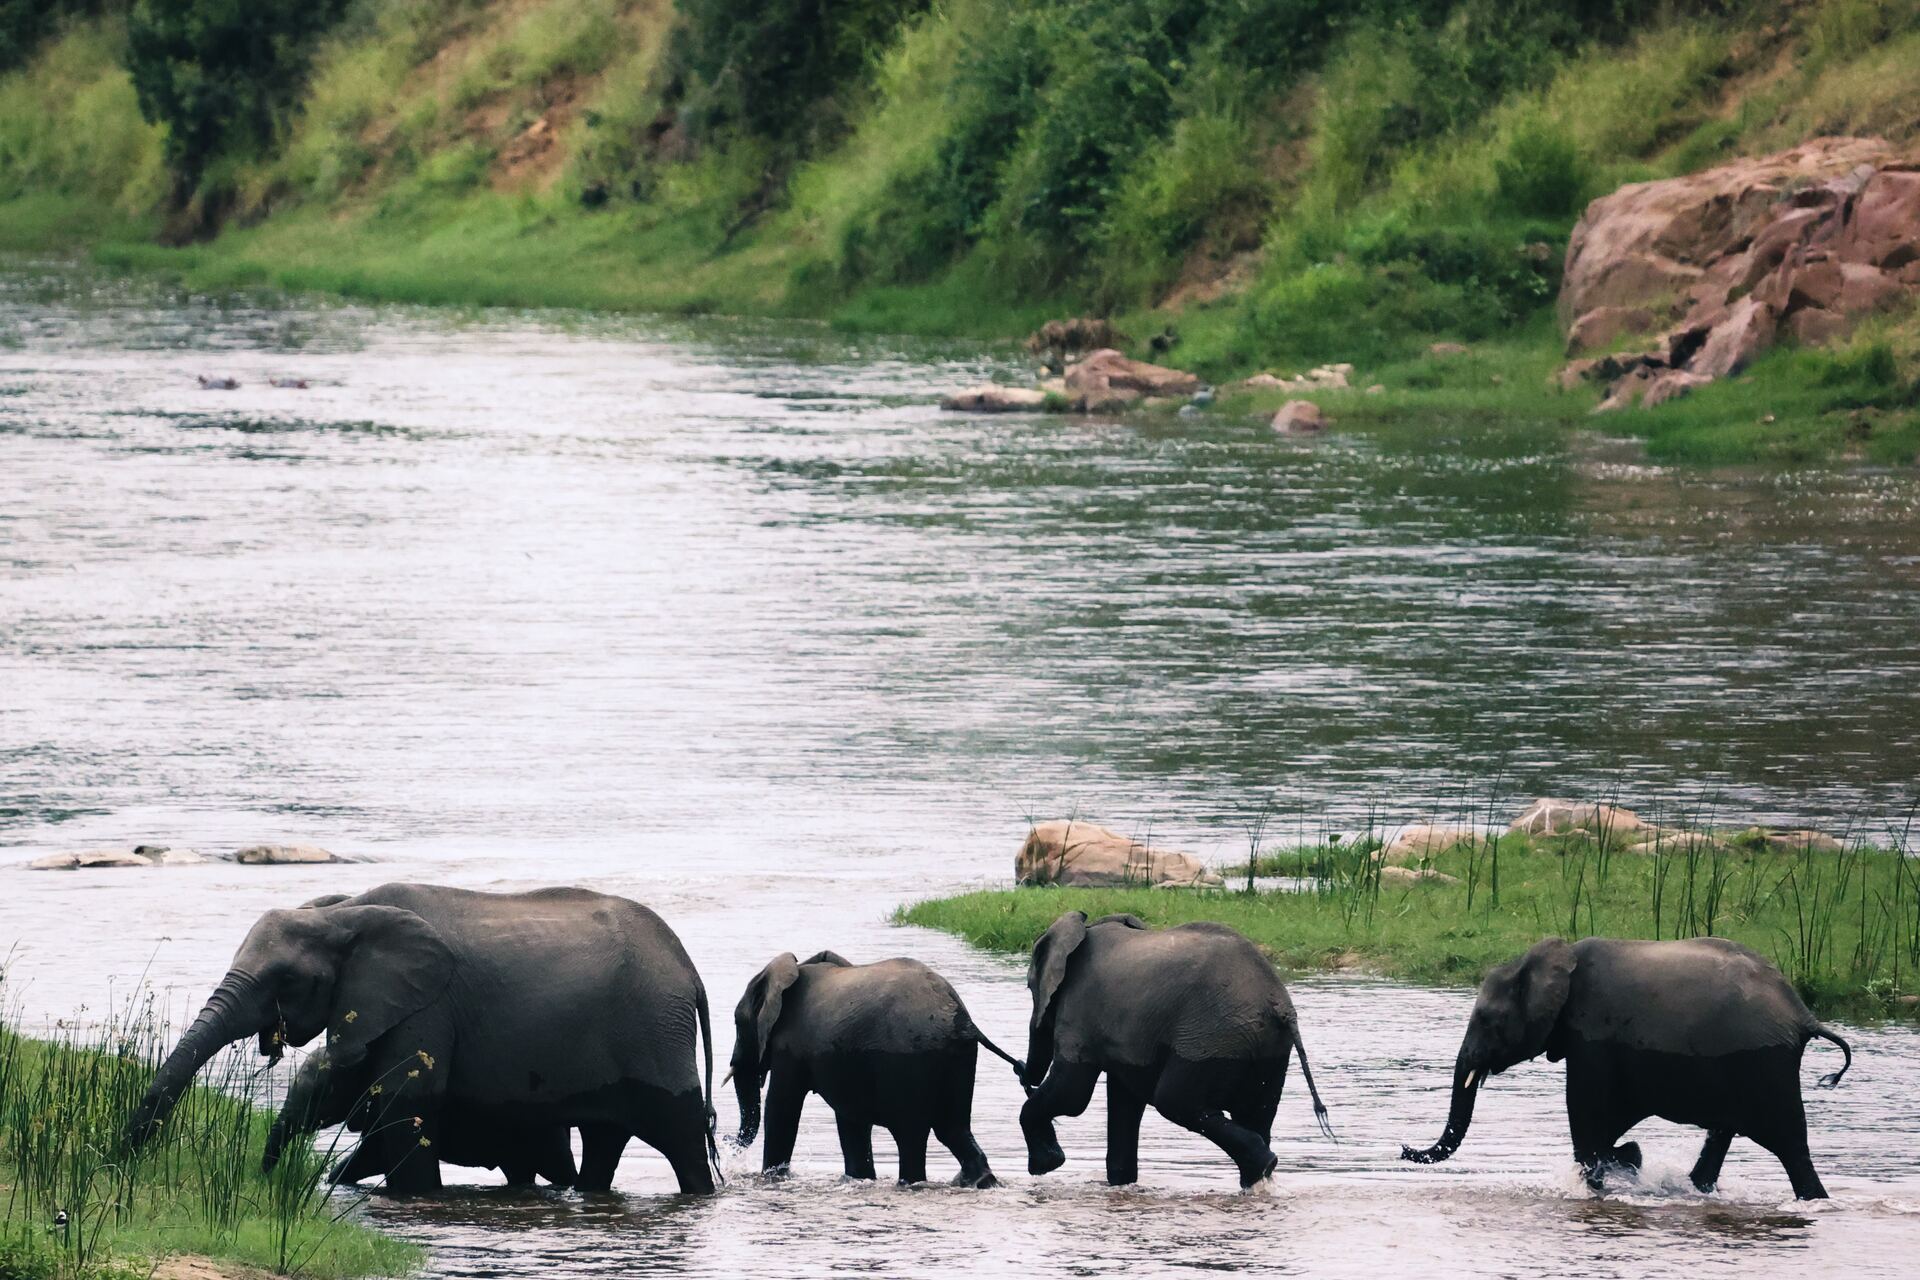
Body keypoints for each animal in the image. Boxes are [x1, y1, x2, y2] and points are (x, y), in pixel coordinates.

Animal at [729, 951, 1024, 1187]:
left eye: (736, 1023)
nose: (729, 1142)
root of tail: (963, 1019)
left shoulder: (788, 1046)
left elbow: (782, 1107)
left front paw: (772, 1178)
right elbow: (850, 1120)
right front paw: (859, 1180)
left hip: (911, 1062)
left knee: (911, 1134)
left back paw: (912, 1182)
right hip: (957, 1057)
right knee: (953, 1128)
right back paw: (980, 1181)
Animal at [1018, 912, 1332, 1188]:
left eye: (1030, 988)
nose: (1021, 1070)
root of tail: (1279, 1005)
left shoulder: (1080, 1009)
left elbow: (1071, 1095)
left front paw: (1047, 1164)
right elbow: (1123, 1101)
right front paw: (1120, 1183)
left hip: (1211, 1037)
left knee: (1175, 1102)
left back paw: (1264, 1165)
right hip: (1266, 1048)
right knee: (1255, 1114)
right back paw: (1259, 1176)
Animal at [1401, 936, 1853, 1199]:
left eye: (1486, 1021)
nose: (1403, 1150)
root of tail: (1803, 1016)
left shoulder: (1592, 1038)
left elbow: (1588, 1117)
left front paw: (1611, 1176)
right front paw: (1628, 1160)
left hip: (1764, 1066)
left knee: (1790, 1145)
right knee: (1726, 1133)